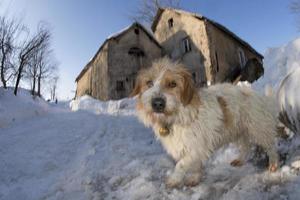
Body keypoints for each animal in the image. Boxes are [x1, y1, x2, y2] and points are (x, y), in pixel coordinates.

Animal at [131, 57, 278, 188]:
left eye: (173, 83)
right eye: (149, 83)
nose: (157, 103)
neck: (177, 116)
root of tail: (258, 96)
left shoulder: (197, 146)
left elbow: (181, 164)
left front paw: (174, 179)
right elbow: (195, 165)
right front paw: (195, 178)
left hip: (258, 129)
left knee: (270, 146)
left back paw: (274, 164)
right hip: (238, 131)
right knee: (246, 146)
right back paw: (241, 160)